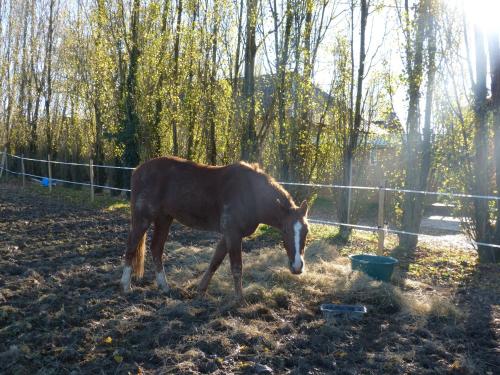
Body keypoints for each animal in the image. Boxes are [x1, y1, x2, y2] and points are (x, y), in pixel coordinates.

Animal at [121, 156, 308, 302]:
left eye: (306, 232)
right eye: (285, 231)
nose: (298, 266)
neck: (251, 194)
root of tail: (138, 170)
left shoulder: (229, 236)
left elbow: (215, 261)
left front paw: (201, 290)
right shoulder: (233, 234)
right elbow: (236, 267)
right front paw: (239, 299)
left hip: (164, 219)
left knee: (156, 249)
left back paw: (164, 286)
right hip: (142, 219)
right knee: (131, 247)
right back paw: (125, 285)